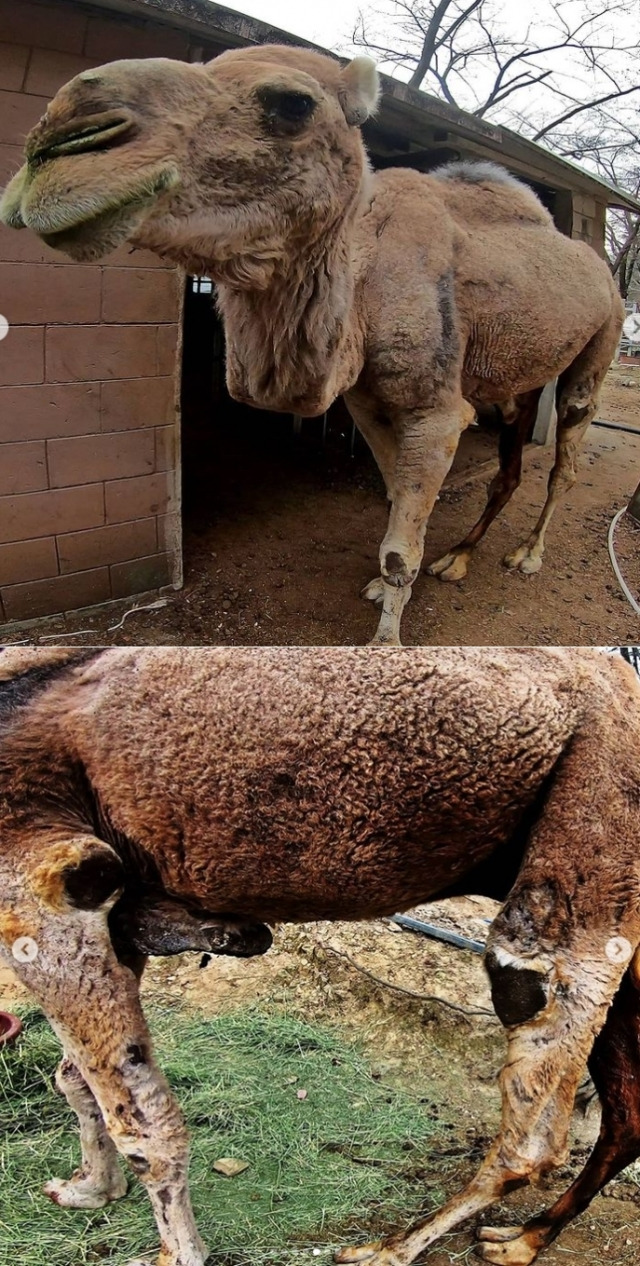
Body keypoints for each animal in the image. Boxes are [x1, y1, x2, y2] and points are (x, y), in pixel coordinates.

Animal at [0, 46, 622, 643]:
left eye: (293, 104)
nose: (55, 144)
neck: (363, 282)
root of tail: (601, 266)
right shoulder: (366, 401)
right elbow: (395, 502)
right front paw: (382, 588)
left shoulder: (436, 410)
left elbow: (401, 546)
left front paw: (386, 643)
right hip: (522, 369)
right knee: (510, 459)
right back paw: (458, 558)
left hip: (603, 341)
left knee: (565, 457)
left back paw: (528, 554)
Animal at [1, 648, 640, 1260]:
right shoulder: (116, 906)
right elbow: (74, 1077)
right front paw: (88, 1189)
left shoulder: (43, 880)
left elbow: (143, 1127)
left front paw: (174, 1253)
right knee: (624, 1114)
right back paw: (520, 1240)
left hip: (595, 815)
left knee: (532, 1084)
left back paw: (393, 1249)